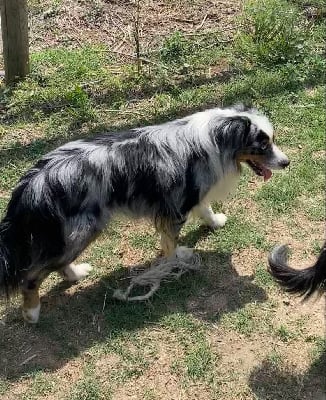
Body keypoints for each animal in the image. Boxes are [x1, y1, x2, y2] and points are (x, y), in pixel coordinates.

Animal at [0, 104, 290, 322]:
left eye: (272, 140)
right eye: (262, 145)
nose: (287, 162)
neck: (216, 138)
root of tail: (34, 181)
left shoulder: (191, 194)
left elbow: (204, 208)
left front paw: (215, 221)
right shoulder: (175, 207)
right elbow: (171, 243)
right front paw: (175, 261)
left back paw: (76, 274)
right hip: (83, 230)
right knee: (32, 275)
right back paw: (32, 312)